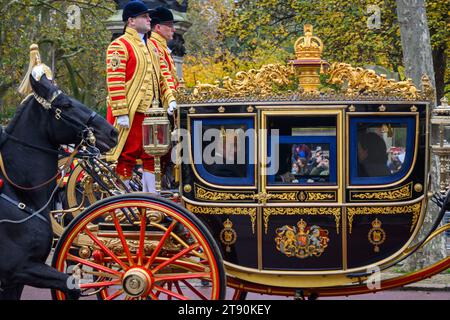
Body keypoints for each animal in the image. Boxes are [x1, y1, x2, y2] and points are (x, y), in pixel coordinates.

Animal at [0, 74, 118, 298]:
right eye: (65, 104)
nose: (113, 132)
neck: (20, 195)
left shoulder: (15, 278)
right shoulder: (19, 268)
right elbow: (70, 284)